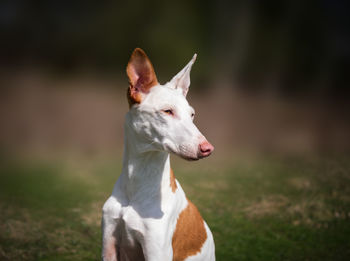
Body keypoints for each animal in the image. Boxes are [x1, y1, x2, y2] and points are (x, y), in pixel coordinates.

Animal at [101, 48, 215, 260]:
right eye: (167, 111)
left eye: (192, 114)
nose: (207, 148)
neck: (137, 183)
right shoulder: (109, 245)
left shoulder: (156, 251)